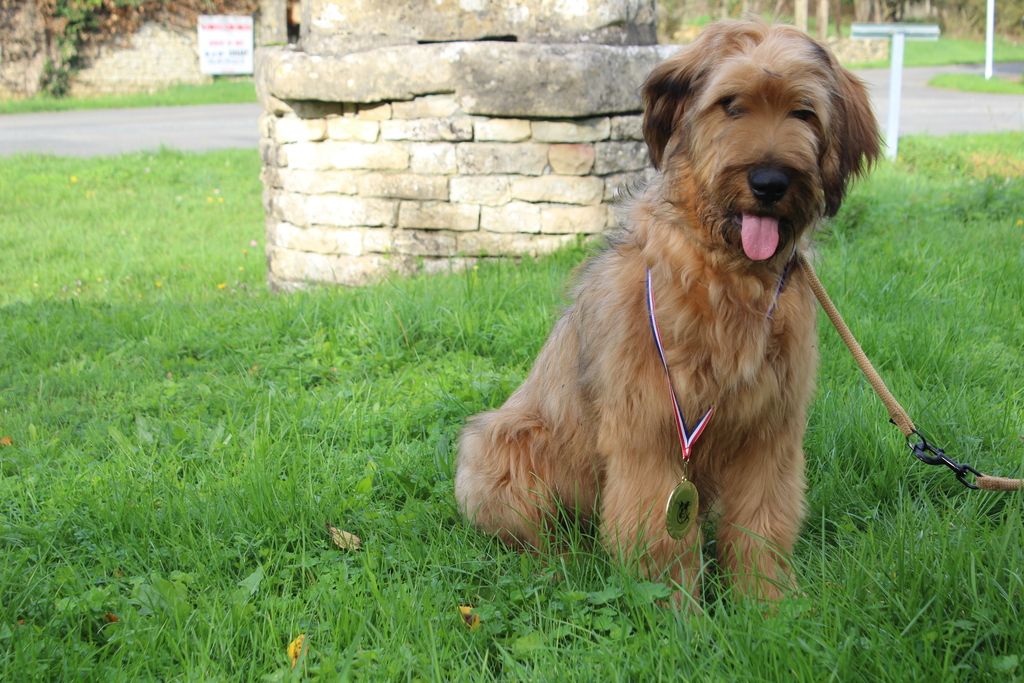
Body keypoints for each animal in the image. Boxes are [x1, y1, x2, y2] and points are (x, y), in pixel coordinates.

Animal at [456, 20, 880, 598]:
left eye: (803, 111)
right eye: (730, 105)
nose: (770, 183)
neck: (726, 275)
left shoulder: (770, 431)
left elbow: (763, 523)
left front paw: (768, 604)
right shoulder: (649, 429)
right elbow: (658, 538)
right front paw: (678, 611)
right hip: (502, 446)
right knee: (537, 536)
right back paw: (562, 565)